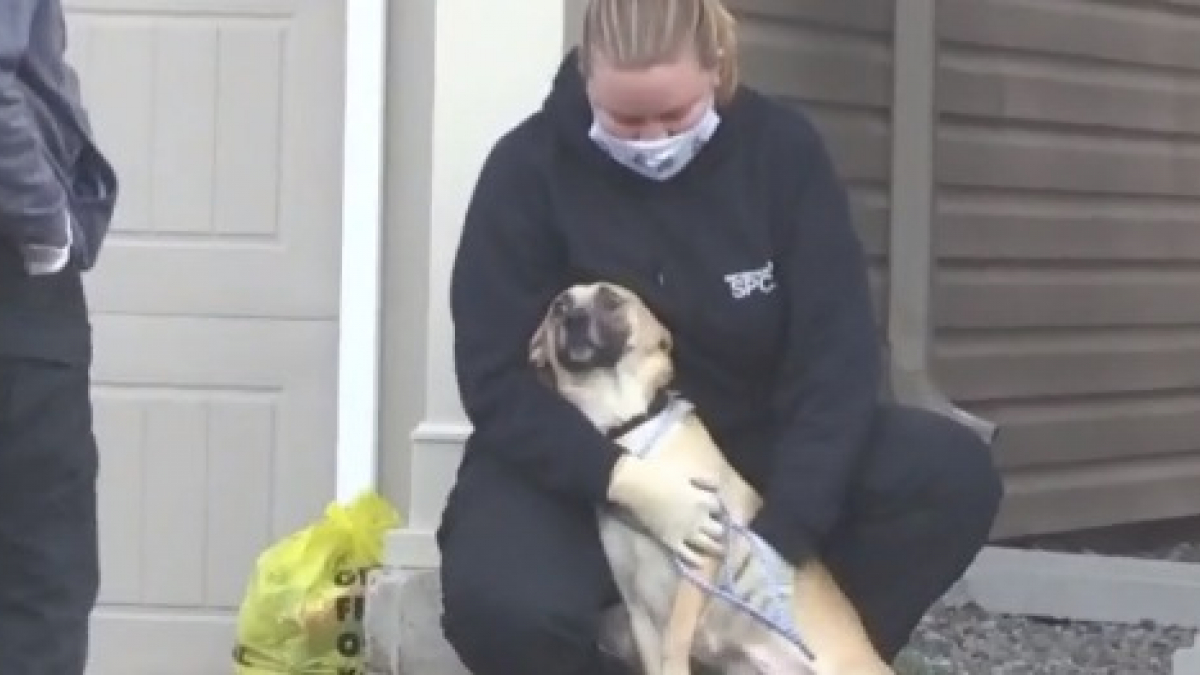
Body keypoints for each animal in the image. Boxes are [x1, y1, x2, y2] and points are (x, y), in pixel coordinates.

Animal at [528, 279, 892, 672]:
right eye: (559, 307)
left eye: (611, 299)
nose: (573, 319)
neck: (631, 431)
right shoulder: (637, 608)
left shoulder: (699, 563)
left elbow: (675, 642)